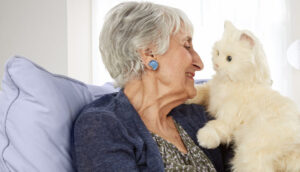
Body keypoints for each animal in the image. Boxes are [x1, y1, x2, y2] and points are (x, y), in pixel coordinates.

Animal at [188, 21, 300, 172]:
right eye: (217, 52)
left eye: (229, 59)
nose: (216, 64)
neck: (236, 82)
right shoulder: (210, 94)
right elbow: (199, 91)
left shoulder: (229, 116)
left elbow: (216, 126)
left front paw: (205, 139)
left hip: (251, 152)